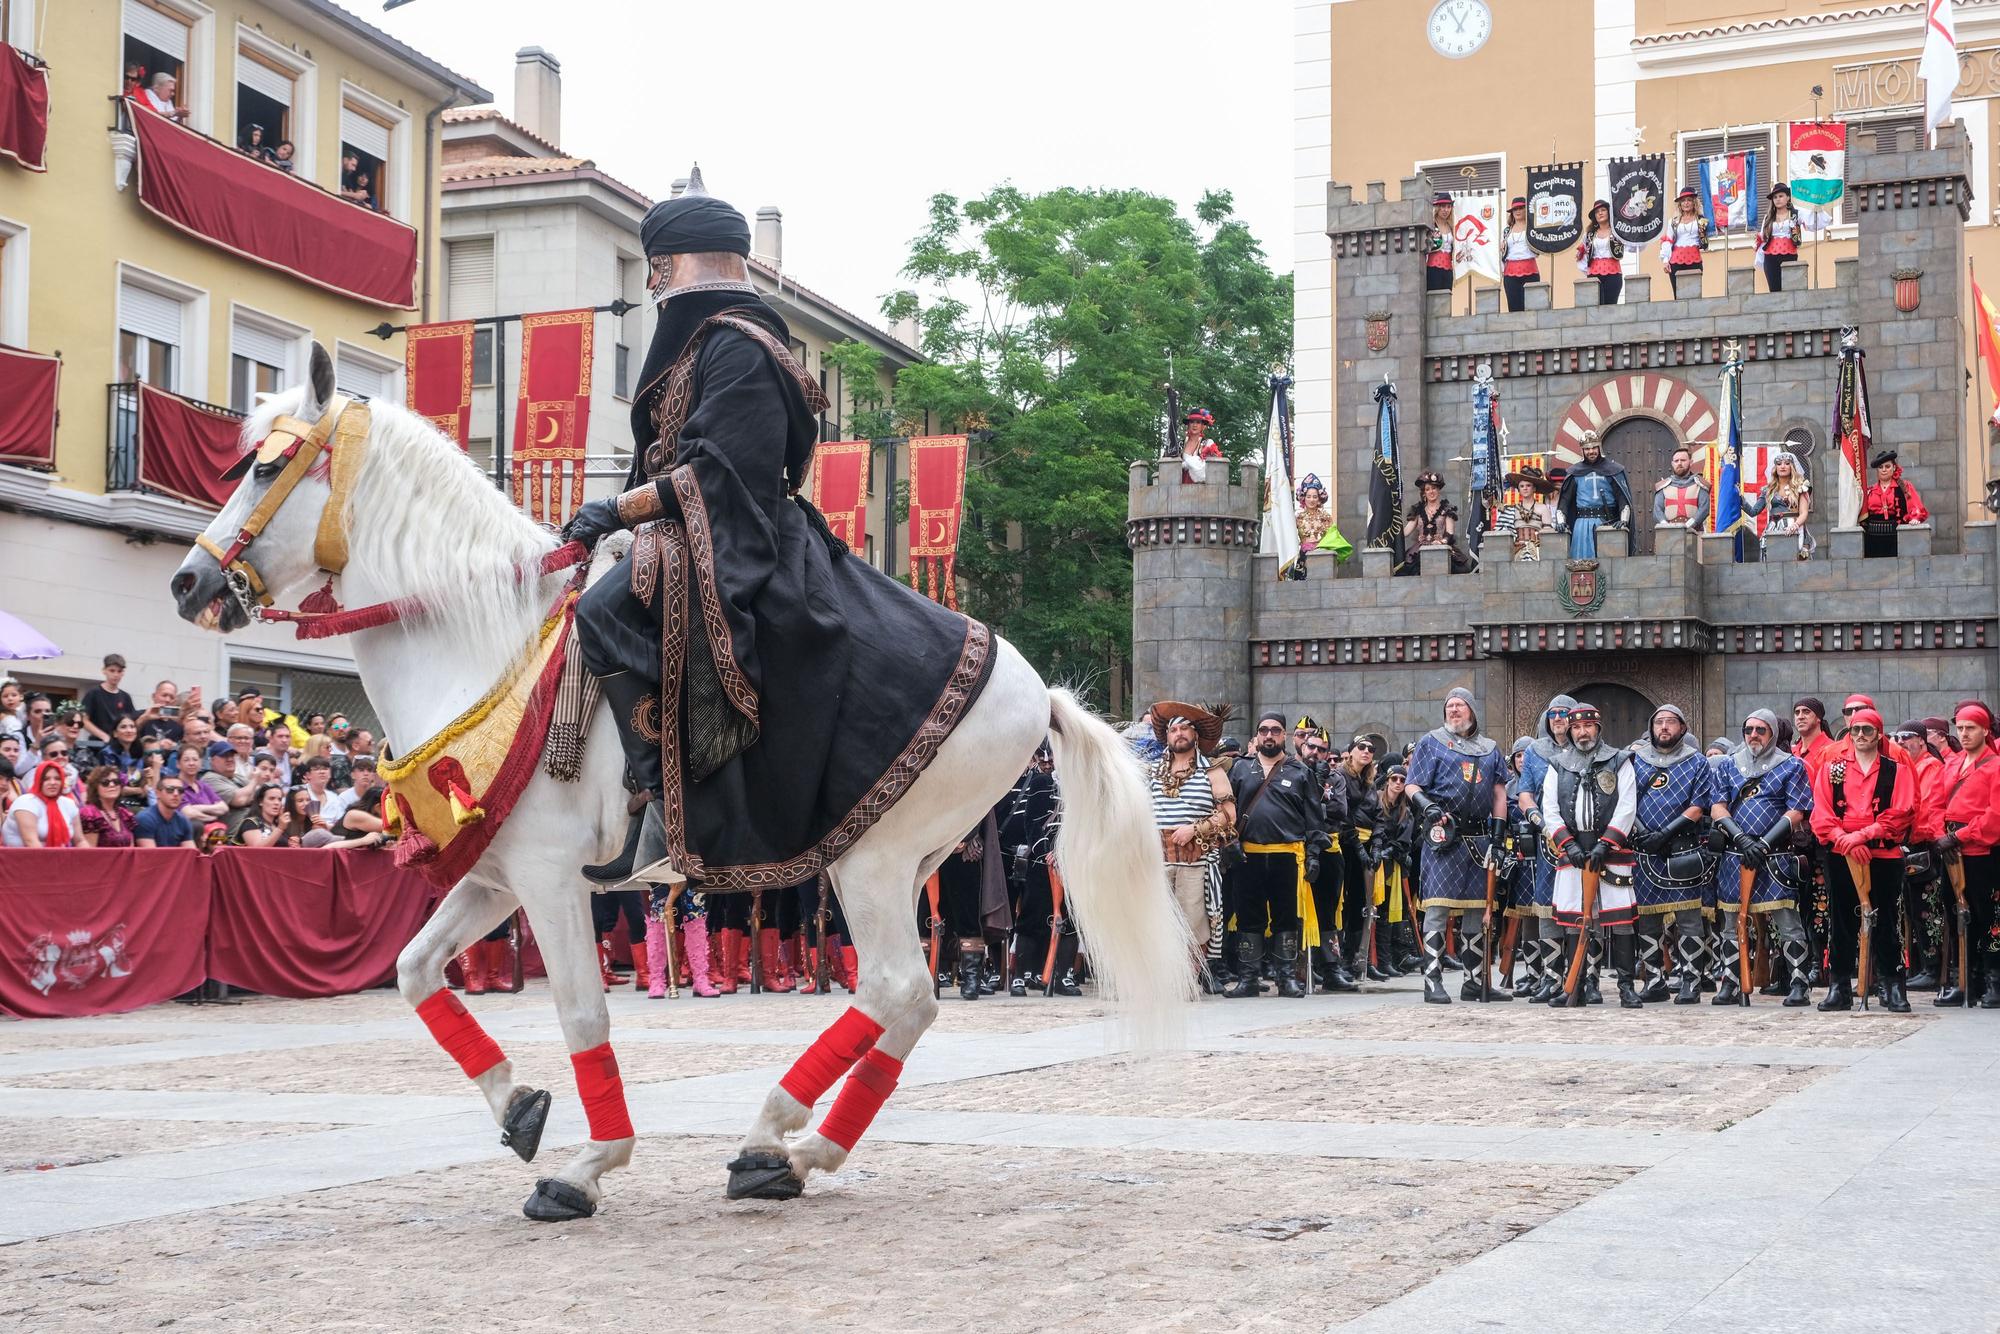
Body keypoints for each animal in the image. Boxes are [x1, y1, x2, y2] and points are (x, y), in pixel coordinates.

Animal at [172, 344, 1184, 1224]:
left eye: (267, 469)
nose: (188, 585)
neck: (481, 644)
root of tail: (1036, 690)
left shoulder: (548, 879)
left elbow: (581, 1010)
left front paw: (585, 1167)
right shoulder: (497, 876)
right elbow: (416, 971)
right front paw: (518, 1106)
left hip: (872, 861)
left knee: (896, 985)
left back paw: (774, 1131)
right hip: (895, 862)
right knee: (910, 998)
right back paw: (794, 1155)